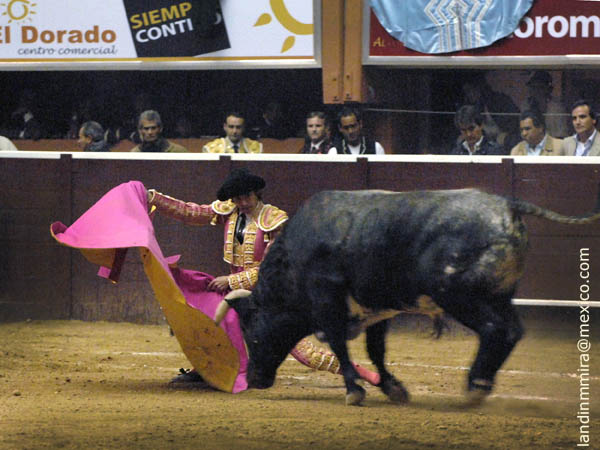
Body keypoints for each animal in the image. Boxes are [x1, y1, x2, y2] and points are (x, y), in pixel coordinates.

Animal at [214, 188, 596, 406]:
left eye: (250, 331)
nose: (254, 380)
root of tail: (507, 205)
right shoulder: (378, 309)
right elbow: (375, 350)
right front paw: (393, 388)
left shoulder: (327, 301)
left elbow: (339, 343)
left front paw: (355, 391)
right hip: (500, 294)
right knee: (512, 331)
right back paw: (480, 382)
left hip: (460, 295)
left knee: (494, 330)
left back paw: (476, 384)